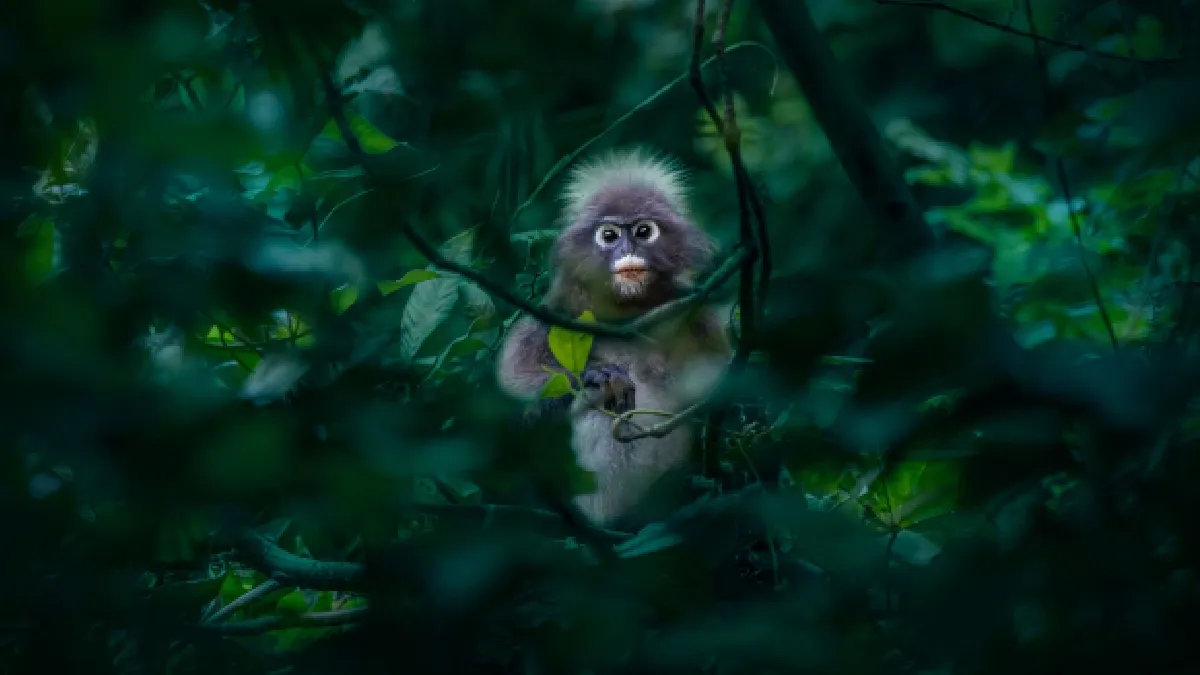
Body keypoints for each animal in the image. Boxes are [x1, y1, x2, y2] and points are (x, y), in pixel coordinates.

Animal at [496, 148, 732, 528]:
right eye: (609, 235)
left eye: (643, 231)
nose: (625, 250)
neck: (628, 313)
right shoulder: (555, 311)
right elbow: (512, 400)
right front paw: (599, 374)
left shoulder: (697, 312)